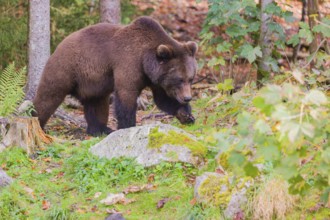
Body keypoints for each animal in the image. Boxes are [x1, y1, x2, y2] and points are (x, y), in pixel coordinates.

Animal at [32, 15, 199, 136]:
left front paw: (186, 115)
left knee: (97, 104)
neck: (145, 60)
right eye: (179, 79)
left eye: (190, 78)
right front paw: (127, 126)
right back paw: (37, 122)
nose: (187, 97)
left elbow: (163, 99)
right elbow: (126, 97)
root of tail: (59, 44)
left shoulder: (155, 79)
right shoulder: (128, 63)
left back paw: (100, 129)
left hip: (92, 82)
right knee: (48, 96)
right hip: (66, 68)